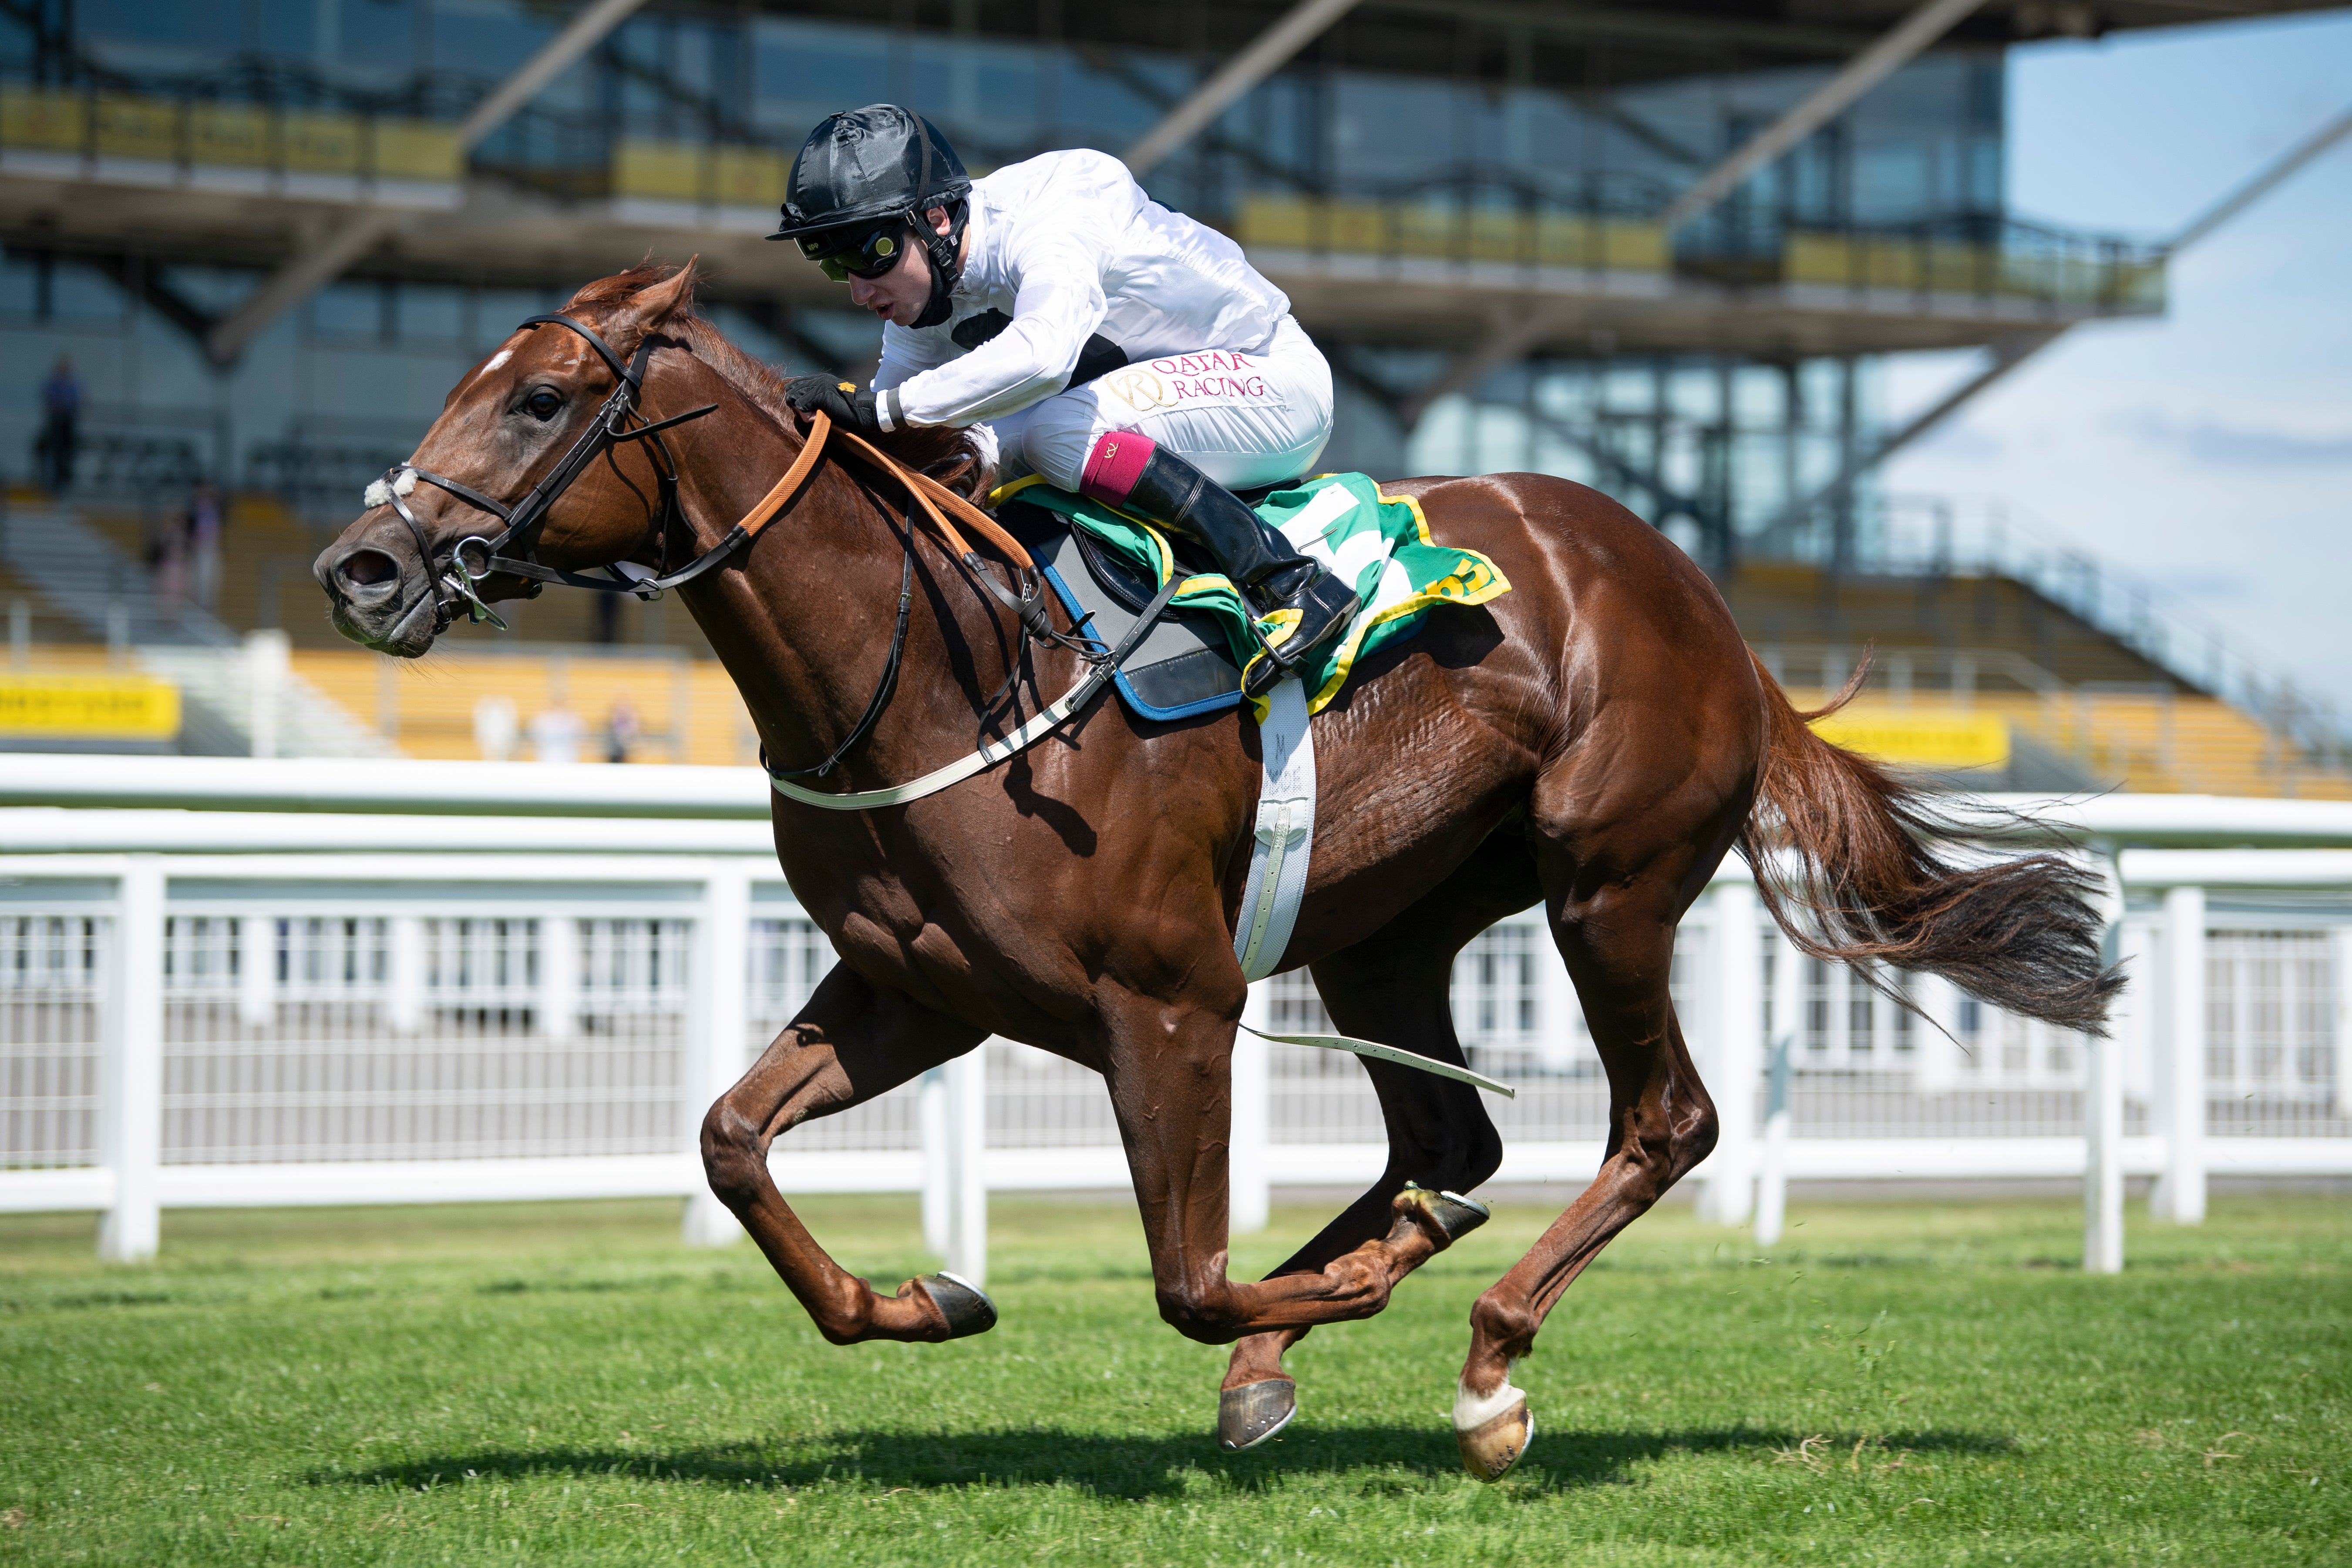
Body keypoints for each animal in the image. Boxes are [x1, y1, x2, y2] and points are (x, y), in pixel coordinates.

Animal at [308, 263, 2116, 1476]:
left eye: (541, 399)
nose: (363, 564)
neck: (937, 666)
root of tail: (1708, 608)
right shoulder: (917, 990)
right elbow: (730, 1143)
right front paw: (928, 1299)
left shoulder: (1165, 1001)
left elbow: (1183, 1279)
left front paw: (1316, 1321)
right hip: (1393, 929)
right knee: (1447, 1142)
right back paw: (1337, 1314)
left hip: (1609, 885)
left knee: (1659, 1122)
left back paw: (1485, 1365)